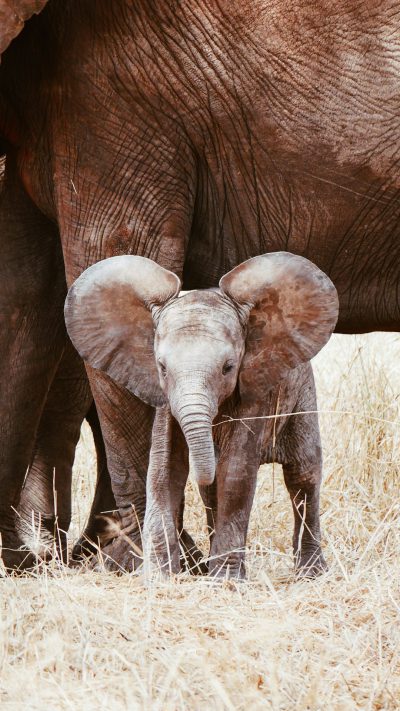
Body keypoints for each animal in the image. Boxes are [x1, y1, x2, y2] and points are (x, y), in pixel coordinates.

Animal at [65, 253, 338, 580]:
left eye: (228, 367)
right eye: (162, 368)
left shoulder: (255, 390)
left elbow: (235, 471)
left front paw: (226, 581)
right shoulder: (166, 403)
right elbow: (163, 469)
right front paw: (161, 578)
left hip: (301, 395)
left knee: (303, 474)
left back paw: (311, 573)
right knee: (211, 495)